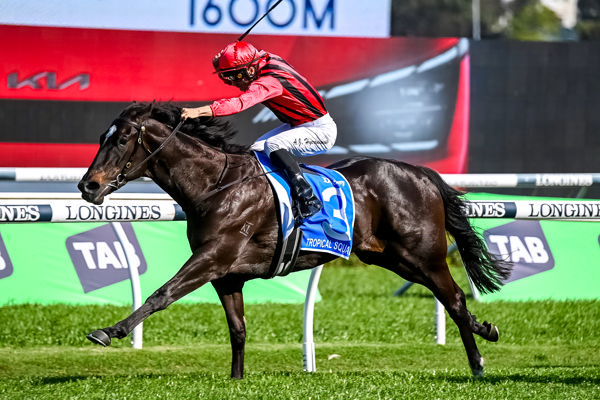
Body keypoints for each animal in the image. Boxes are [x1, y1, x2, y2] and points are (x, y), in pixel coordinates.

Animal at [78, 102, 510, 378]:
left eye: (121, 140)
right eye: (101, 136)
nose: (87, 186)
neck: (216, 184)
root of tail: (421, 173)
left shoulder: (213, 257)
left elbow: (161, 294)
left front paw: (109, 331)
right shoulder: (227, 275)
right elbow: (238, 329)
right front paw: (237, 380)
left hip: (424, 255)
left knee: (454, 299)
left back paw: (477, 364)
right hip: (391, 257)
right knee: (450, 299)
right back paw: (486, 329)